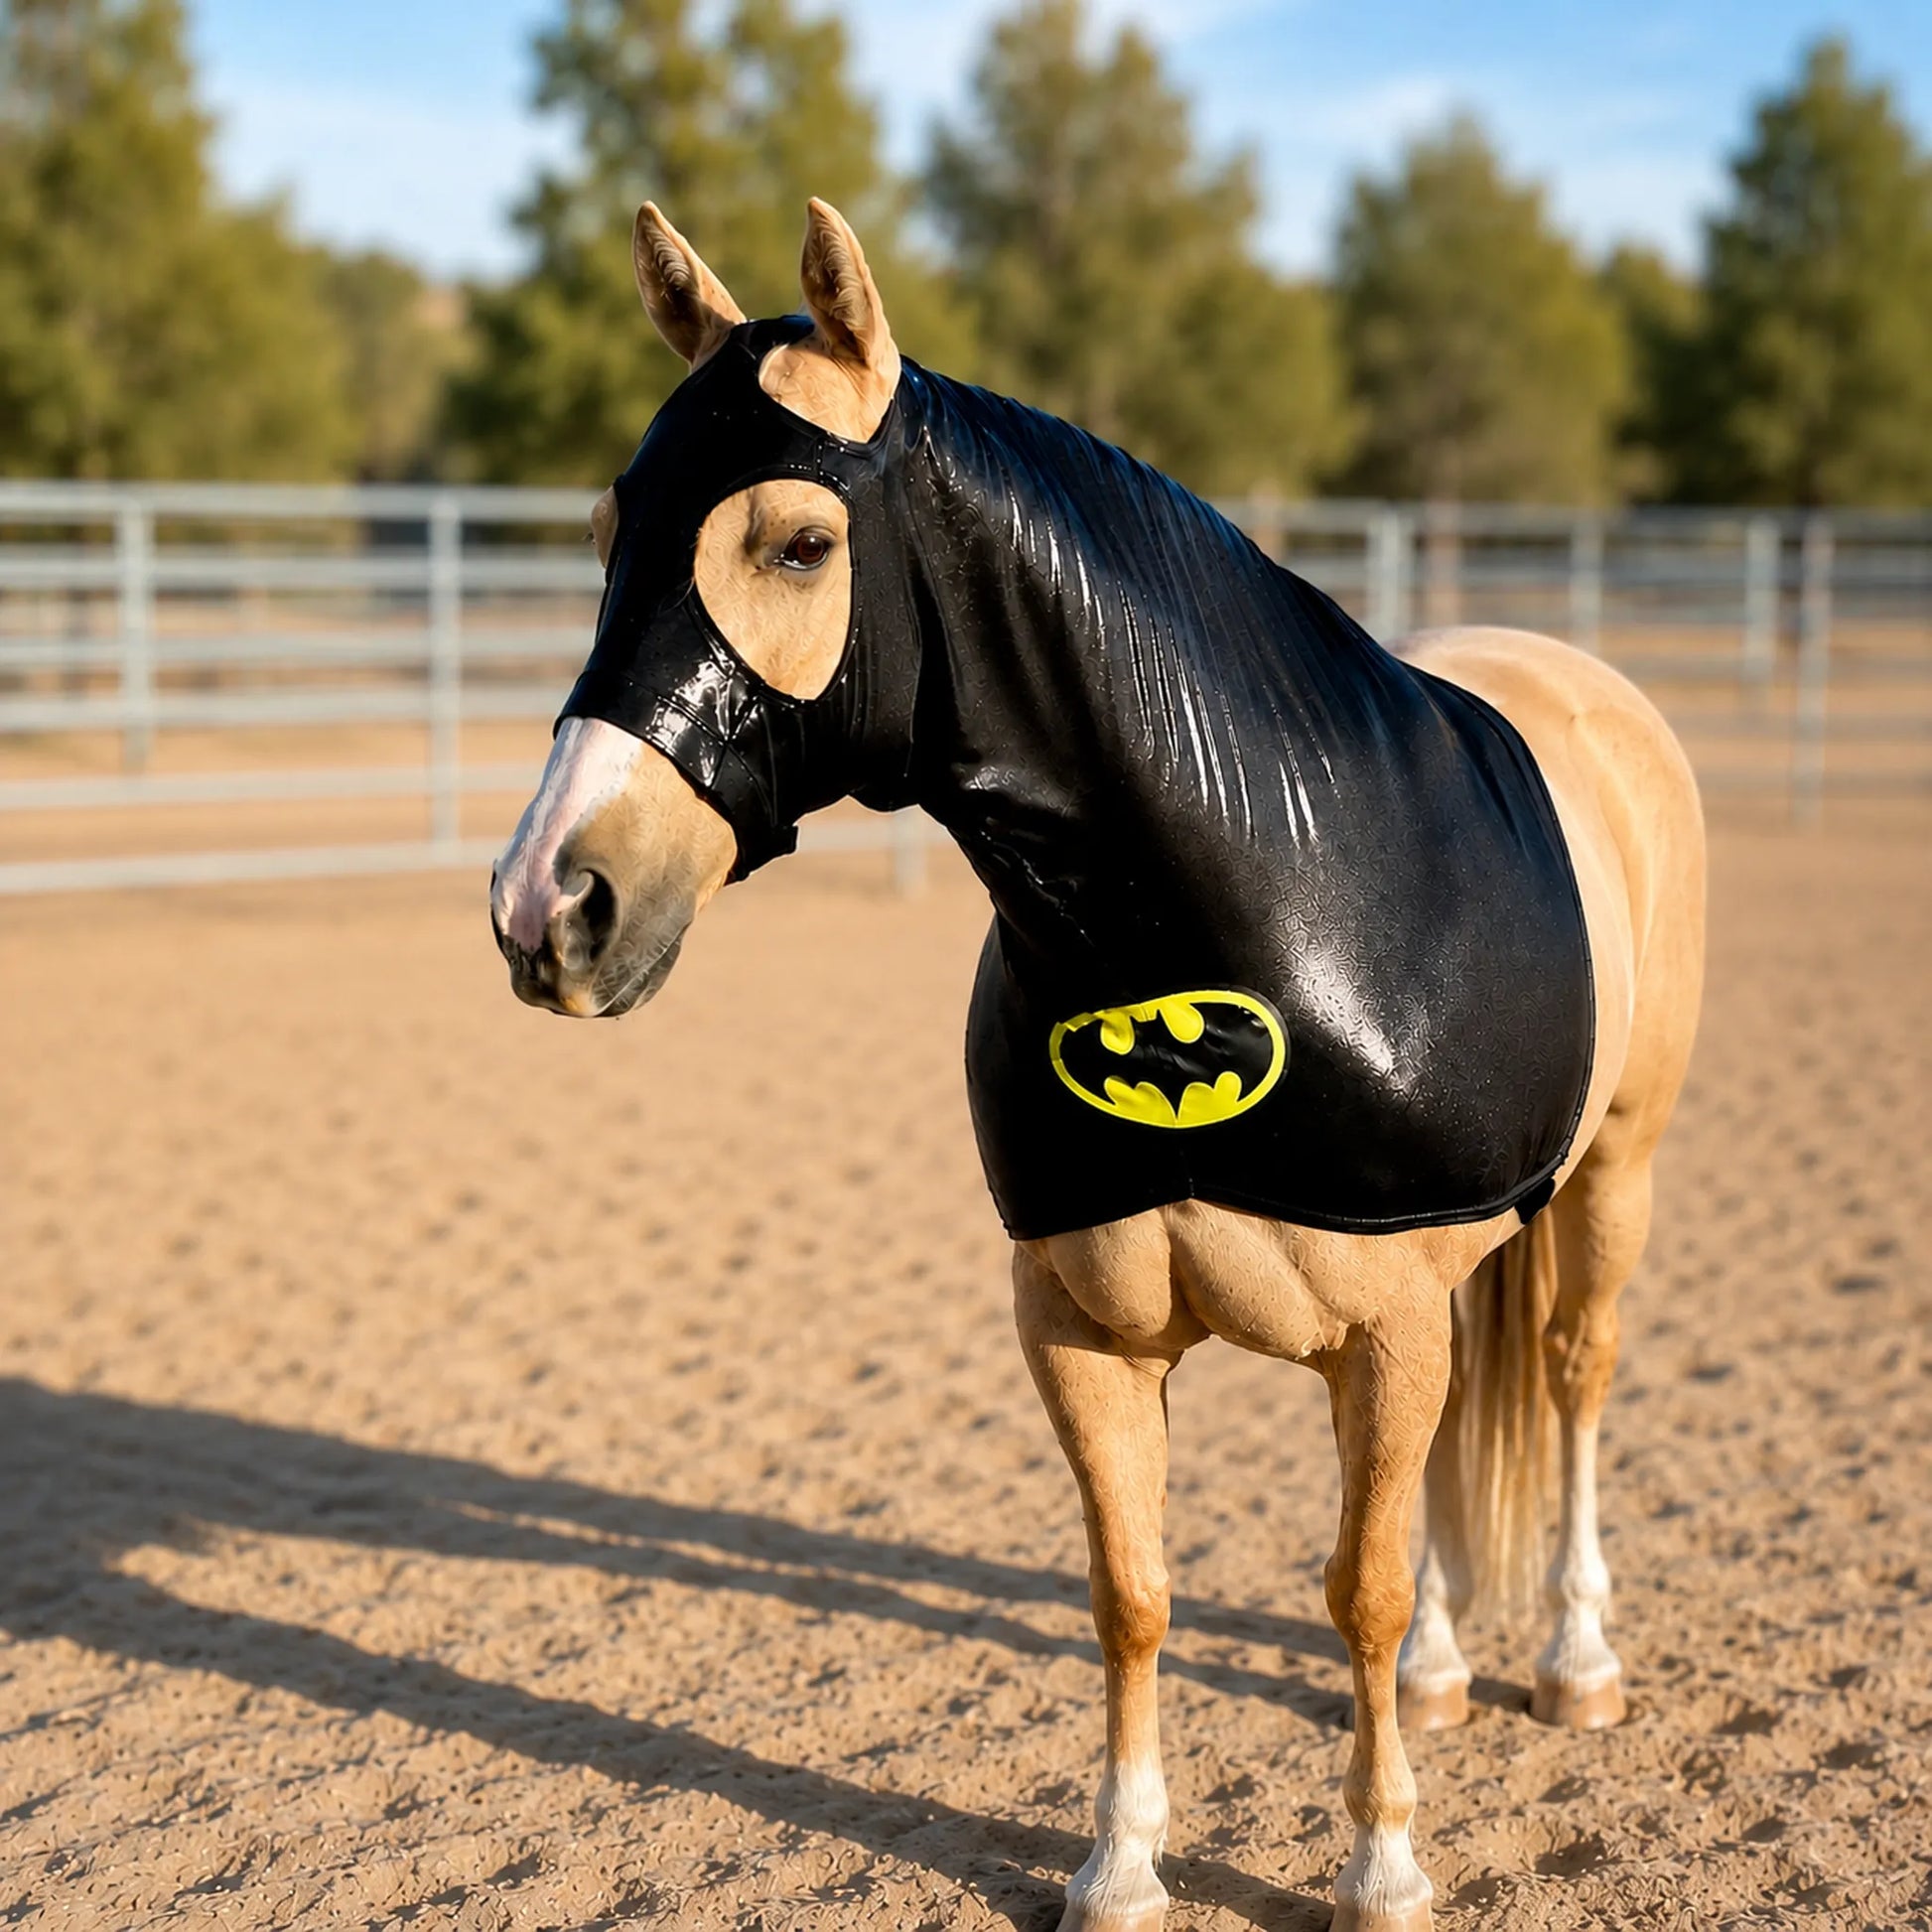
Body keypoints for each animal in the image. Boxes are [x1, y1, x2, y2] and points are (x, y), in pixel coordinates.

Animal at [489, 198, 1705, 1932]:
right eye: (607, 529)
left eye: (796, 544)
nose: (549, 903)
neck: (1237, 897)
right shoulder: (1082, 1329)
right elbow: (1132, 1589)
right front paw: (1119, 1863)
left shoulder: (1387, 1331)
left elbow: (1356, 1585)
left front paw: (1382, 1864)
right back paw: (1448, 1672)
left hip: (1617, 1172)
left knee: (1574, 1374)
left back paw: (1574, 1658)